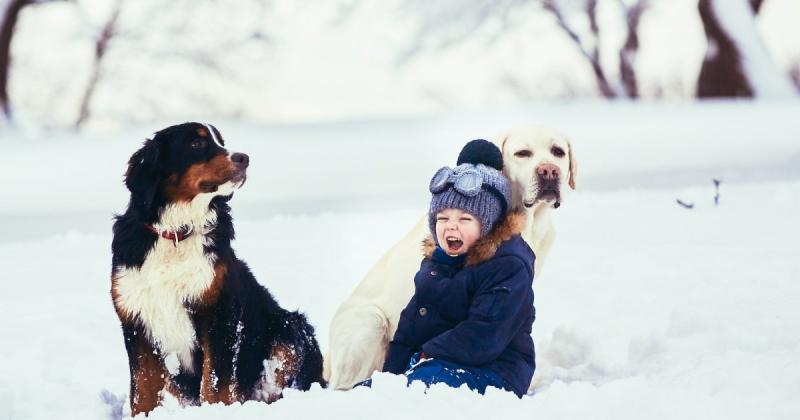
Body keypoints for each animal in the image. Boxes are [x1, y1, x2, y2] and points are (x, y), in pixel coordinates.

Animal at [111, 123, 324, 416]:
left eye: (221, 141)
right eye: (197, 144)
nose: (244, 158)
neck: (177, 233)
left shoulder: (219, 312)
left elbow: (215, 384)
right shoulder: (136, 320)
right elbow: (143, 390)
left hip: (290, 330)